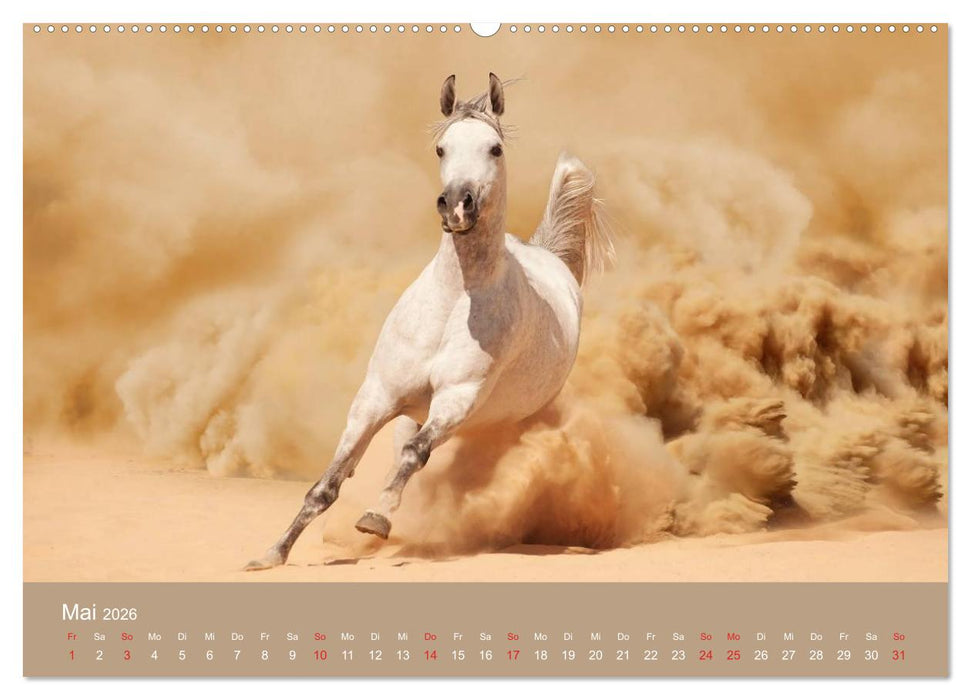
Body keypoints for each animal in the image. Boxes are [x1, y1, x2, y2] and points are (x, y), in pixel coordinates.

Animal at [245, 73, 614, 570]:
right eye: (442, 148)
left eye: (495, 148)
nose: (457, 204)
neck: (453, 304)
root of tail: (548, 255)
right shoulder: (376, 397)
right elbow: (329, 483)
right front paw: (272, 553)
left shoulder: (456, 399)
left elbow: (414, 454)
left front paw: (375, 519)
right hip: (412, 410)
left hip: (505, 418)